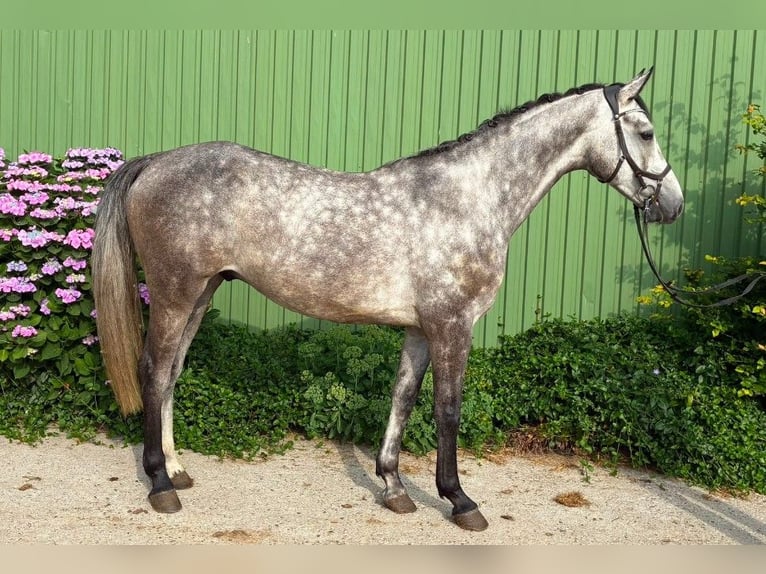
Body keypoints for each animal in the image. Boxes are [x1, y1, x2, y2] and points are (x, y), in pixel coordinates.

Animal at [92, 68, 683, 532]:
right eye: (647, 132)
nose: (673, 204)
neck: (469, 199)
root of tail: (156, 162)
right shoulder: (453, 325)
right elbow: (447, 410)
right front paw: (460, 500)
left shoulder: (421, 329)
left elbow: (402, 397)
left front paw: (394, 487)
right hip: (175, 293)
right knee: (153, 371)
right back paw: (160, 486)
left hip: (201, 292)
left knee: (172, 373)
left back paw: (178, 469)